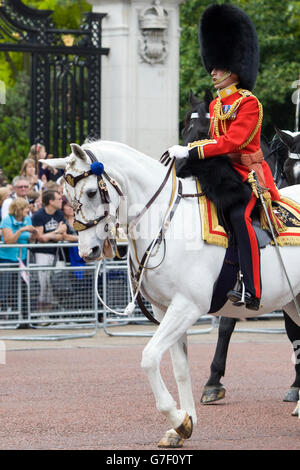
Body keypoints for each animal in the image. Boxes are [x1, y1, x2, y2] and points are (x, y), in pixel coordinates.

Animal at [41, 142, 300, 448]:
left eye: (92, 192)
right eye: (67, 197)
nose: (87, 251)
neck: (163, 222)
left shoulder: (186, 307)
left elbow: (150, 357)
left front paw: (177, 418)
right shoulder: (166, 308)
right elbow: (180, 367)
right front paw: (185, 423)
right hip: (293, 301)